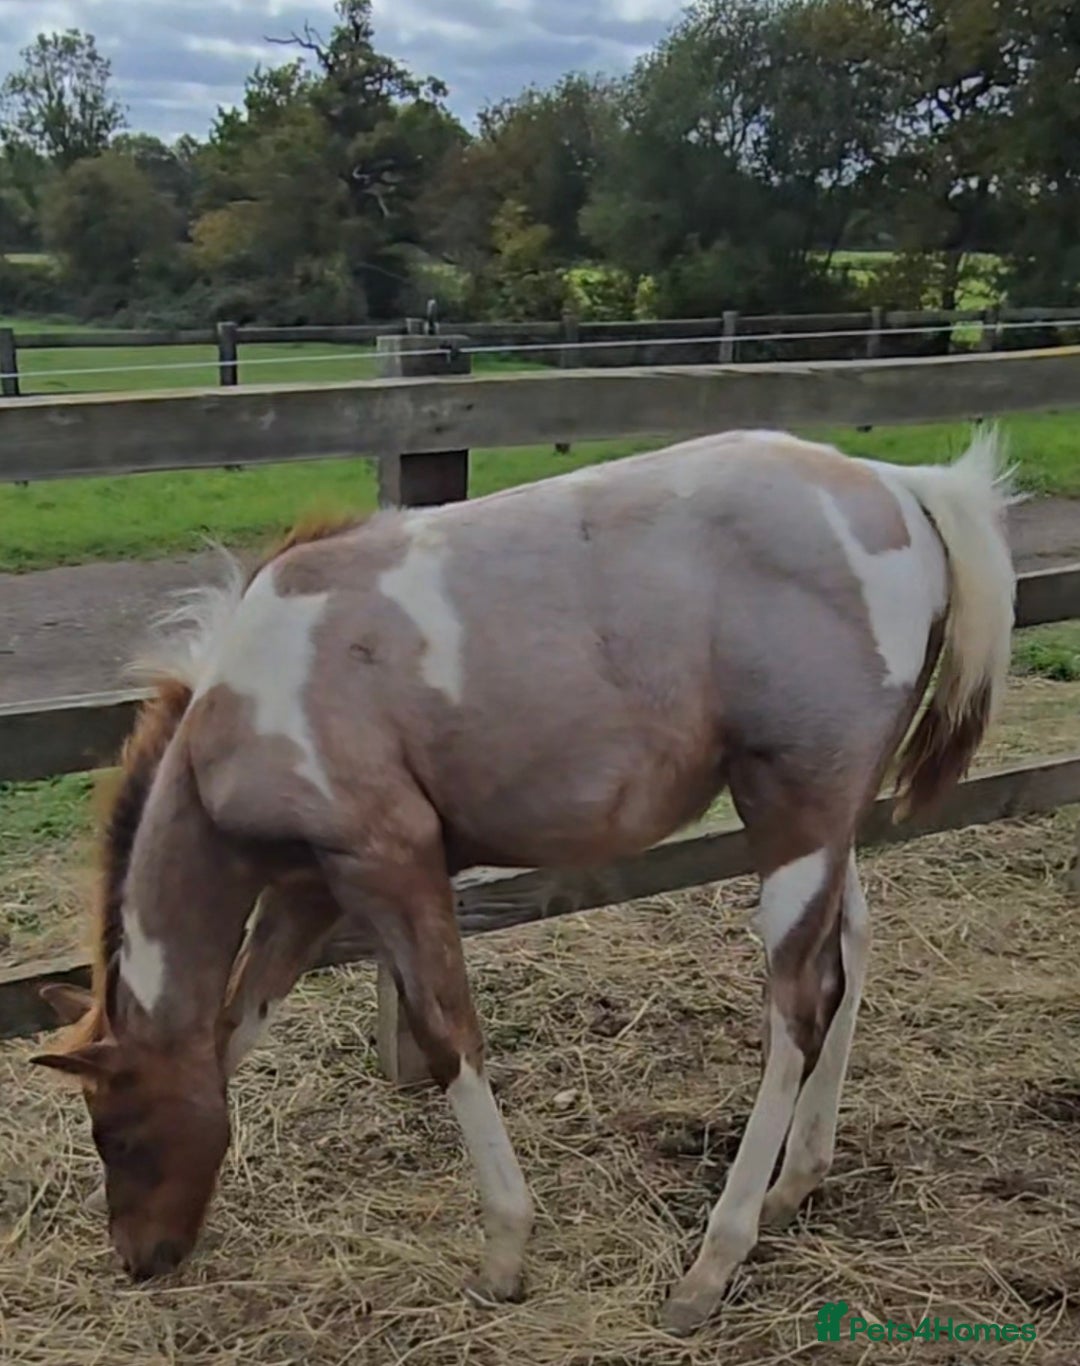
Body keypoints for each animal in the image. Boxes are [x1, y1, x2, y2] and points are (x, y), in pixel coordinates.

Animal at [32, 426, 1016, 1336]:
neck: (255, 700)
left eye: (114, 1130)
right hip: (826, 822)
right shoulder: (308, 889)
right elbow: (236, 1027)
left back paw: (711, 1264)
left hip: (793, 811)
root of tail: (900, 484)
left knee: (797, 1008)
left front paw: (505, 1249)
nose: (140, 1258)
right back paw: (795, 1184)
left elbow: (448, 1036)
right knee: (849, 958)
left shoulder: (388, 859)